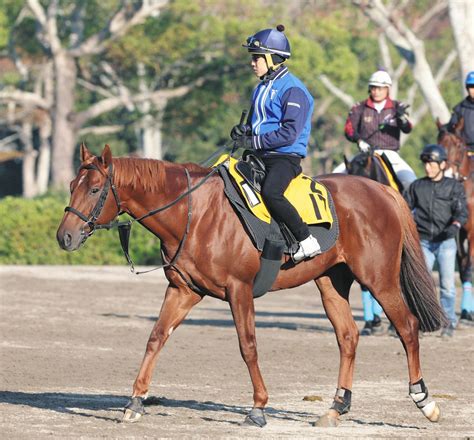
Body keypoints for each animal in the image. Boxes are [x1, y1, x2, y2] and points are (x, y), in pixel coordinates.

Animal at [57, 146, 446, 428]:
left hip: (379, 279)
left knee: (407, 327)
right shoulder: (183, 291)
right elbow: (156, 338)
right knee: (348, 336)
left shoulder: (239, 290)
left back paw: (424, 401)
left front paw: (258, 408)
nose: (65, 237)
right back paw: (337, 406)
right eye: (72, 187)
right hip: (331, 282)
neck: (194, 212)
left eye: (95, 189)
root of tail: (379, 190)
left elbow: (248, 347)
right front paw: (135, 401)